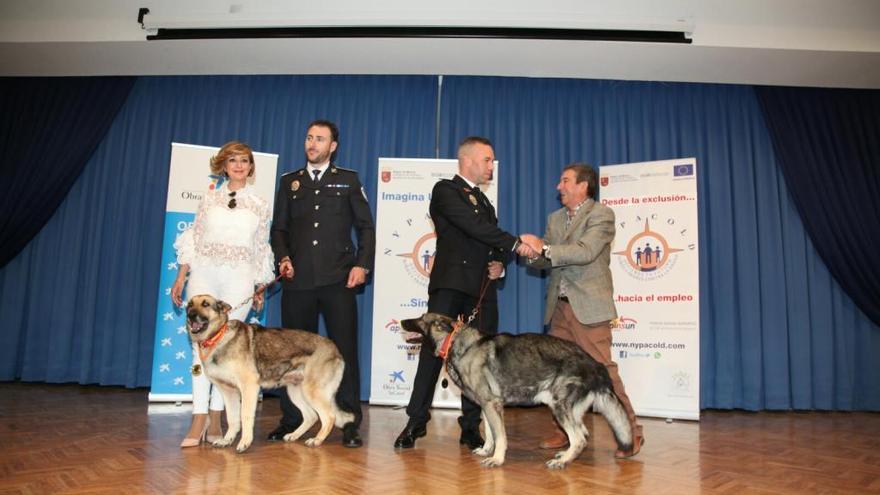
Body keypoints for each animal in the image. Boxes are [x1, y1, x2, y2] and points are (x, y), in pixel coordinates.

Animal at [187, 294, 352, 454]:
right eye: (189, 305)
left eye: (205, 304)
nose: (190, 315)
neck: (217, 337)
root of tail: (334, 348)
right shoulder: (229, 392)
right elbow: (232, 419)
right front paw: (227, 440)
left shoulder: (249, 388)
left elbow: (245, 415)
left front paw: (244, 442)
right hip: (296, 392)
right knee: (312, 416)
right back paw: (294, 435)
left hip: (311, 391)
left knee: (329, 416)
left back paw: (317, 440)